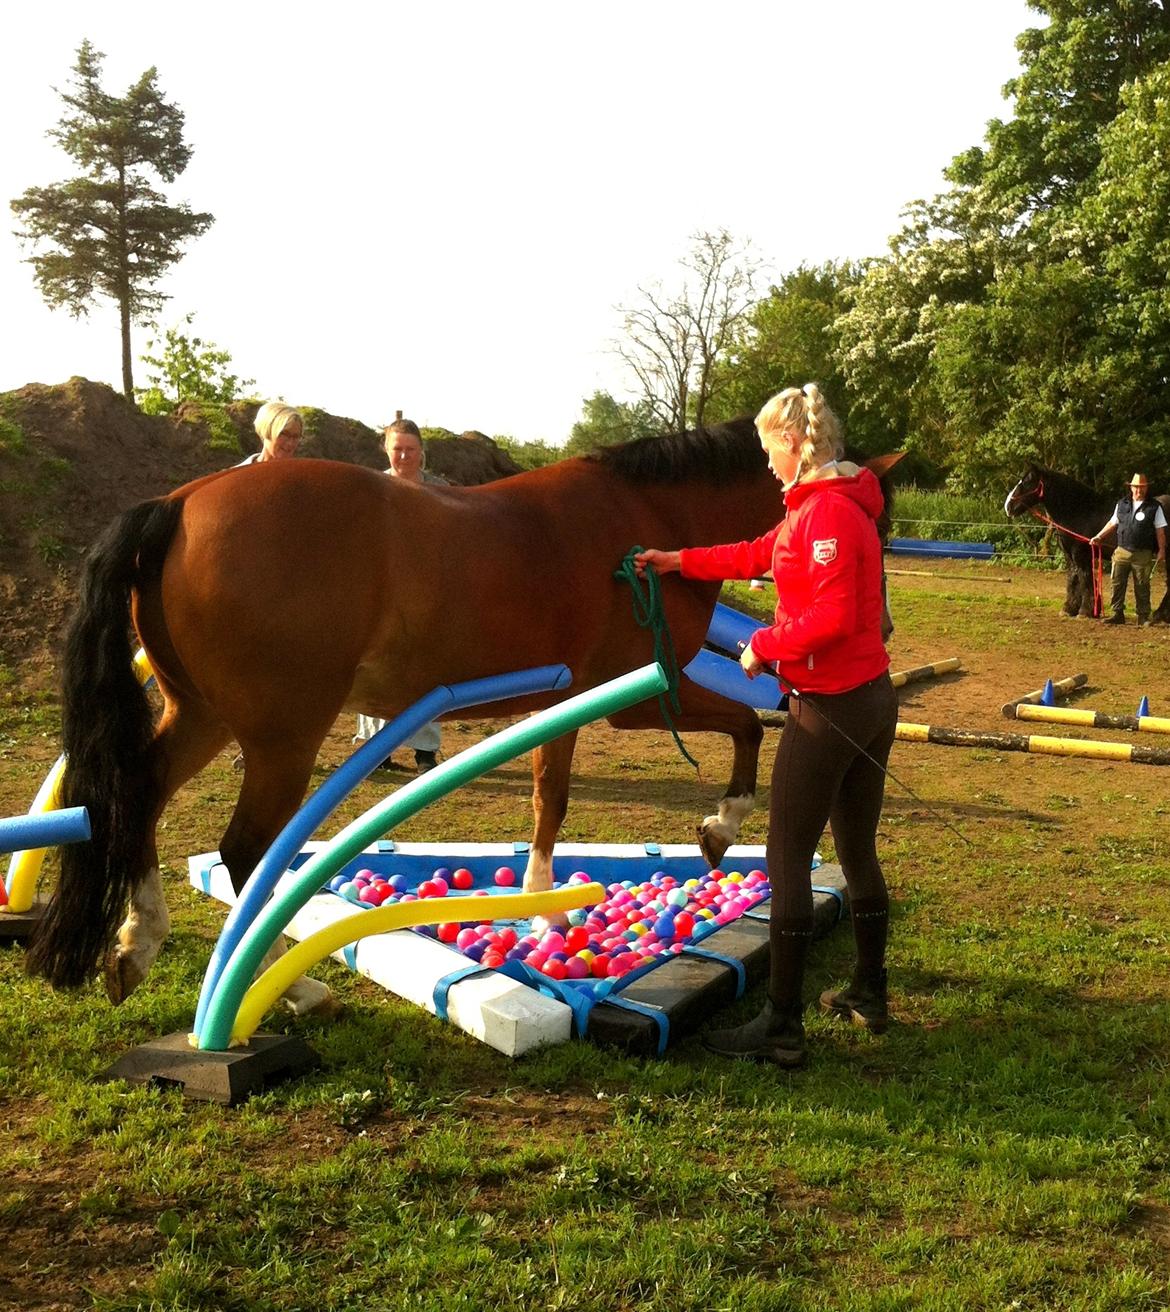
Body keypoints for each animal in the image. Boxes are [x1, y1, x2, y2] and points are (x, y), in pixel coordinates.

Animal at [27, 414, 902, 1007]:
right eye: (869, 522)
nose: (881, 630)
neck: (647, 525)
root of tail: (181, 502)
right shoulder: (645, 692)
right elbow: (745, 726)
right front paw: (719, 827)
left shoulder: (574, 703)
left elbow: (552, 798)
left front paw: (546, 905)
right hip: (281, 736)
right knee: (247, 850)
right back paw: (290, 989)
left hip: (204, 717)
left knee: (139, 795)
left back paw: (136, 944)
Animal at [1007, 461, 1170, 619]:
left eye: (1027, 482)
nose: (1008, 506)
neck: (1080, 512)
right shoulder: (1070, 556)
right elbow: (1073, 579)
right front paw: (1069, 609)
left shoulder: (1080, 555)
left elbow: (1085, 580)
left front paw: (1084, 611)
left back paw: (1159, 614)